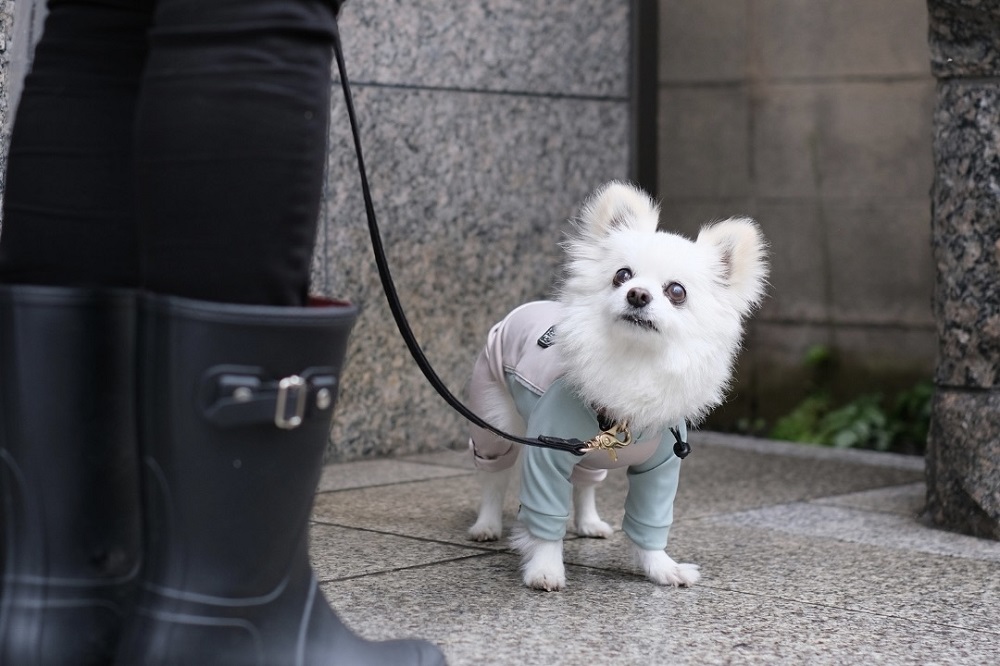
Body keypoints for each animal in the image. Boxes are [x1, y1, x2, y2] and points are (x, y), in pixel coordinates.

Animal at [466, 180, 764, 588]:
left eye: (676, 291)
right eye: (622, 275)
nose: (637, 294)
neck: (634, 359)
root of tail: (523, 308)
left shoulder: (661, 467)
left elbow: (649, 522)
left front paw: (662, 569)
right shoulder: (547, 453)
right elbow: (545, 519)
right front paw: (545, 569)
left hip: (585, 455)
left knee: (585, 484)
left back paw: (589, 523)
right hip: (494, 424)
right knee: (494, 479)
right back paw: (487, 525)